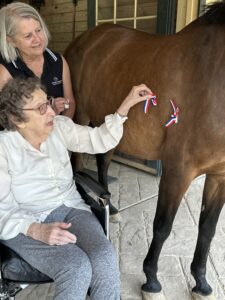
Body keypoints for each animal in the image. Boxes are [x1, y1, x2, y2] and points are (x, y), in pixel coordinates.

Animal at [63, 2, 225, 300]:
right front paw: (151, 280)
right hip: (79, 116)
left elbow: (208, 229)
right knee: (77, 163)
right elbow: (162, 226)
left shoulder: (220, 175)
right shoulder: (178, 170)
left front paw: (201, 281)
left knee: (102, 162)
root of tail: (86, 38)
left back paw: (112, 208)